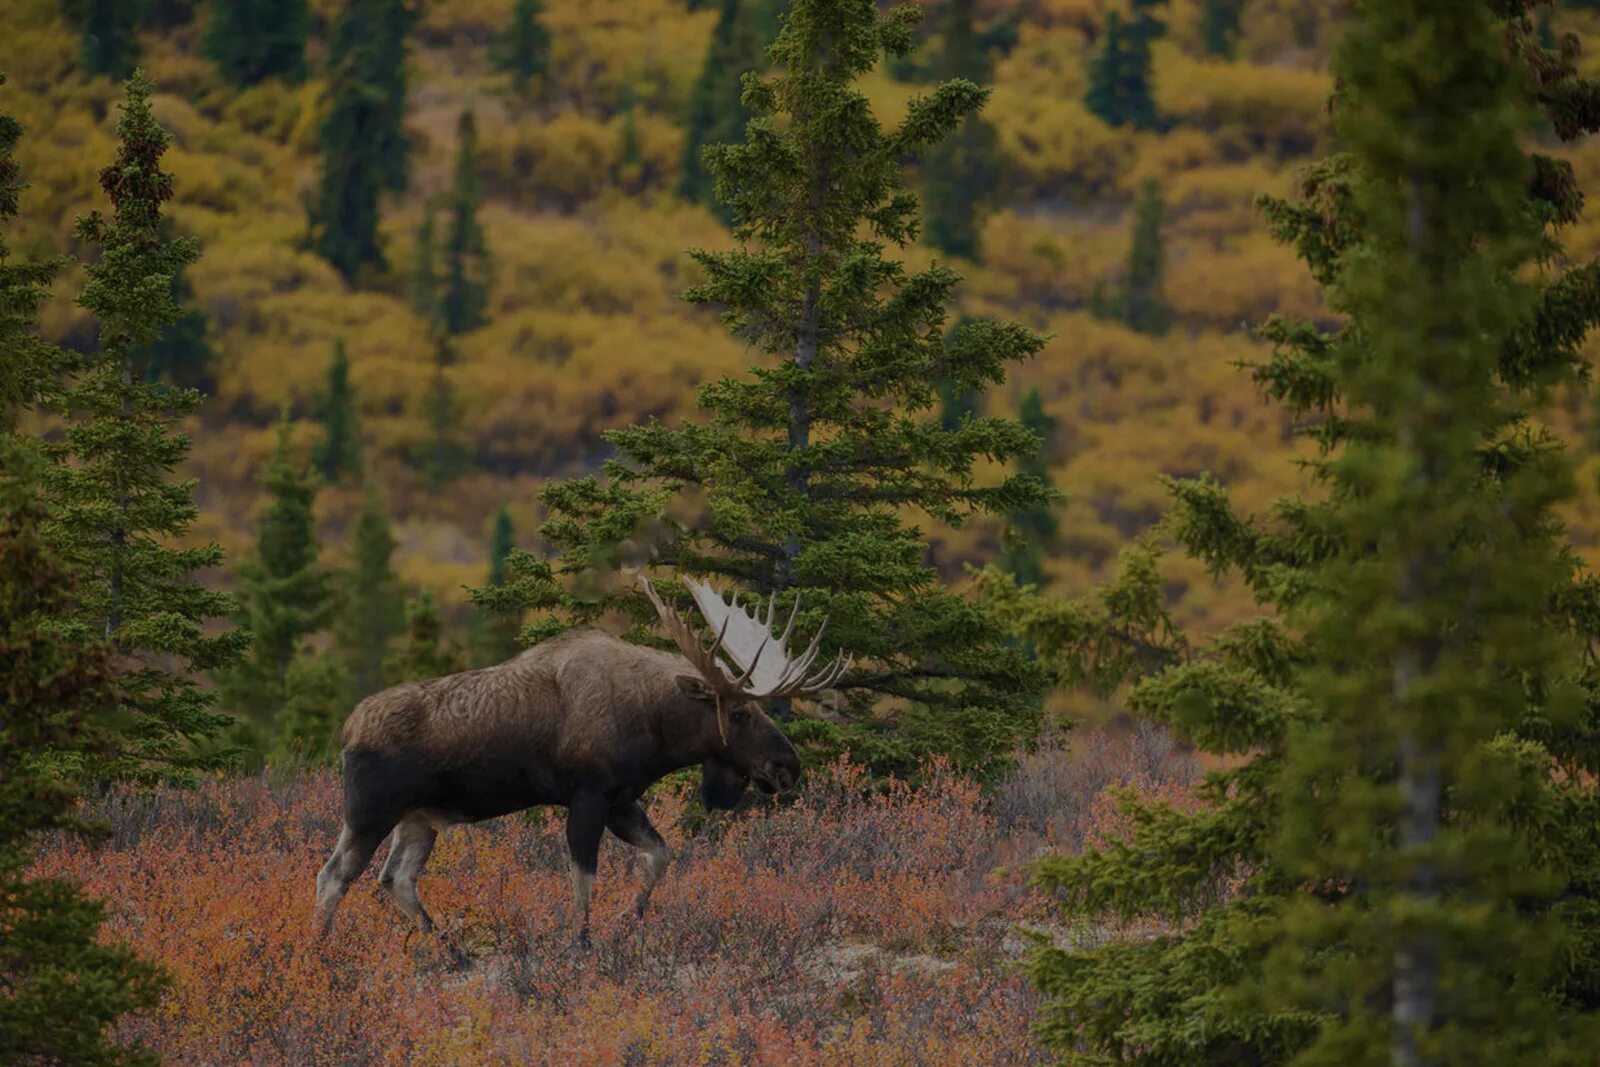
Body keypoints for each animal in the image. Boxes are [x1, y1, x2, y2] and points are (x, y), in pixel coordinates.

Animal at [310, 575, 851, 940]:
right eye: (738, 712)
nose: (787, 766)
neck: (655, 725)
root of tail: (347, 730)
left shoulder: (621, 799)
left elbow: (660, 856)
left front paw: (627, 919)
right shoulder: (588, 794)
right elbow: (583, 881)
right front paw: (581, 942)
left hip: (419, 818)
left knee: (396, 878)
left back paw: (448, 948)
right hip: (369, 812)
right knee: (334, 876)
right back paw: (321, 951)